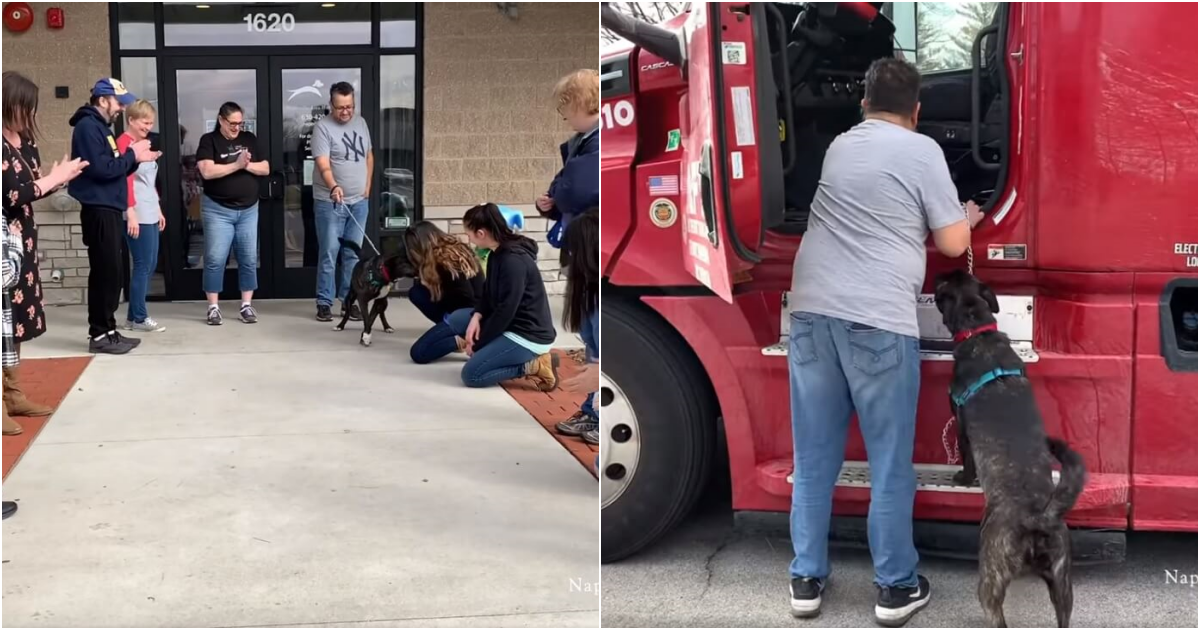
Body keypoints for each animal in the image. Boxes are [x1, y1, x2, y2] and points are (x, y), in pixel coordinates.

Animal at [931, 267, 1094, 624]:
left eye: (944, 282)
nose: (937, 273)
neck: (978, 330)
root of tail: (1038, 518)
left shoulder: (961, 425)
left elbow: (966, 457)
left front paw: (963, 478)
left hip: (990, 580)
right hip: (1063, 584)